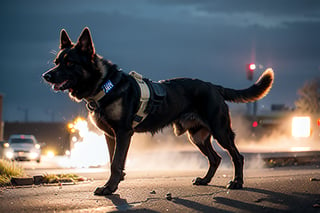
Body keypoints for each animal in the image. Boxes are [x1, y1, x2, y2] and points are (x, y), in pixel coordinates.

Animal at [42, 27, 272, 196]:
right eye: (56, 62)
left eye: (69, 63)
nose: (46, 76)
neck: (105, 85)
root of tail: (213, 87)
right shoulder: (111, 136)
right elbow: (114, 161)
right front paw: (115, 183)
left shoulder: (123, 133)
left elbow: (115, 163)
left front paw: (109, 188)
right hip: (197, 137)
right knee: (215, 159)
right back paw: (205, 180)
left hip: (221, 132)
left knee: (237, 156)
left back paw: (237, 182)